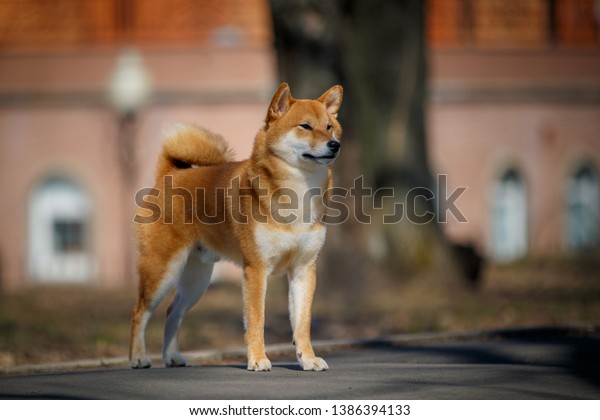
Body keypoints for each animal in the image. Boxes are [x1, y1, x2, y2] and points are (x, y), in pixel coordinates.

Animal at [129, 82, 344, 370]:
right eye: (305, 126)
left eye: (329, 126)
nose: (335, 145)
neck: (298, 194)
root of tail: (169, 174)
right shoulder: (256, 269)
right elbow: (256, 320)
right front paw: (258, 359)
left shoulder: (303, 270)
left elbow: (302, 324)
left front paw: (308, 359)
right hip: (162, 270)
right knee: (140, 312)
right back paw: (138, 357)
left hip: (196, 280)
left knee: (172, 312)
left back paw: (172, 357)